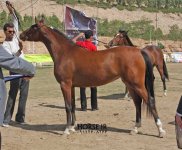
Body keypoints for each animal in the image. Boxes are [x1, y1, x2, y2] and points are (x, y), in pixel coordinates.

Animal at [19, 19, 166, 137]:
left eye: (33, 27)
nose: (21, 35)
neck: (65, 52)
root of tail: (139, 51)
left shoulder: (64, 84)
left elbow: (67, 106)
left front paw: (66, 130)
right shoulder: (71, 86)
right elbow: (73, 105)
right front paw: (72, 127)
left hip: (137, 84)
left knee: (150, 101)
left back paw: (160, 130)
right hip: (130, 84)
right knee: (137, 103)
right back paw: (135, 129)